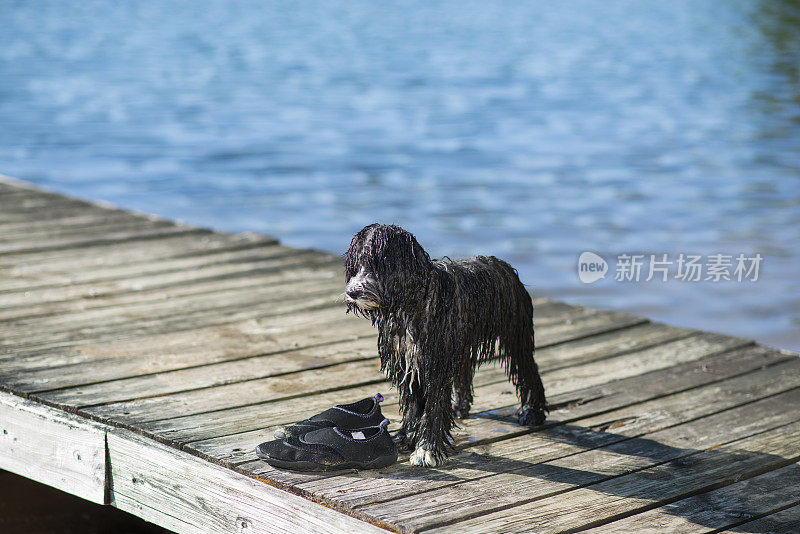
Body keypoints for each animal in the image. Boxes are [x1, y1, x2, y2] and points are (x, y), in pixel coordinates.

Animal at [340, 224, 548, 466]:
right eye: (355, 265)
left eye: (375, 263)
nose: (352, 292)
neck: (412, 303)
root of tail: (506, 267)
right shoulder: (407, 361)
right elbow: (412, 405)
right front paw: (407, 438)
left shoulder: (436, 363)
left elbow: (433, 406)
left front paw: (427, 449)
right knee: (465, 371)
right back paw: (459, 407)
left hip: (515, 335)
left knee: (528, 371)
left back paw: (532, 412)